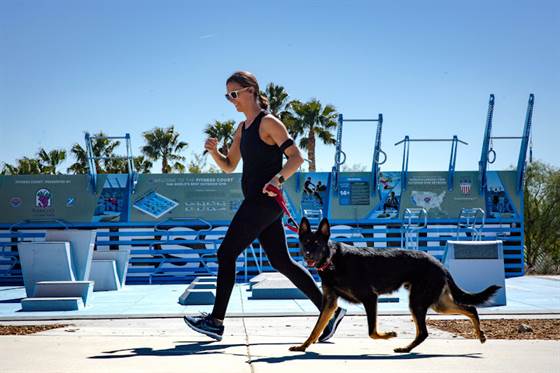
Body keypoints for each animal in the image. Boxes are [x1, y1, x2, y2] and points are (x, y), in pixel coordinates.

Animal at [290, 215, 500, 352]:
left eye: (317, 244)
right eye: (305, 242)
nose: (307, 255)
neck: (332, 260)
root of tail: (439, 263)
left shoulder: (370, 298)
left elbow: (372, 331)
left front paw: (389, 334)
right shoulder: (330, 303)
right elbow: (316, 328)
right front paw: (303, 346)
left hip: (418, 302)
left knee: (424, 332)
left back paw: (405, 349)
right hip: (437, 303)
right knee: (470, 308)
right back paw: (479, 334)